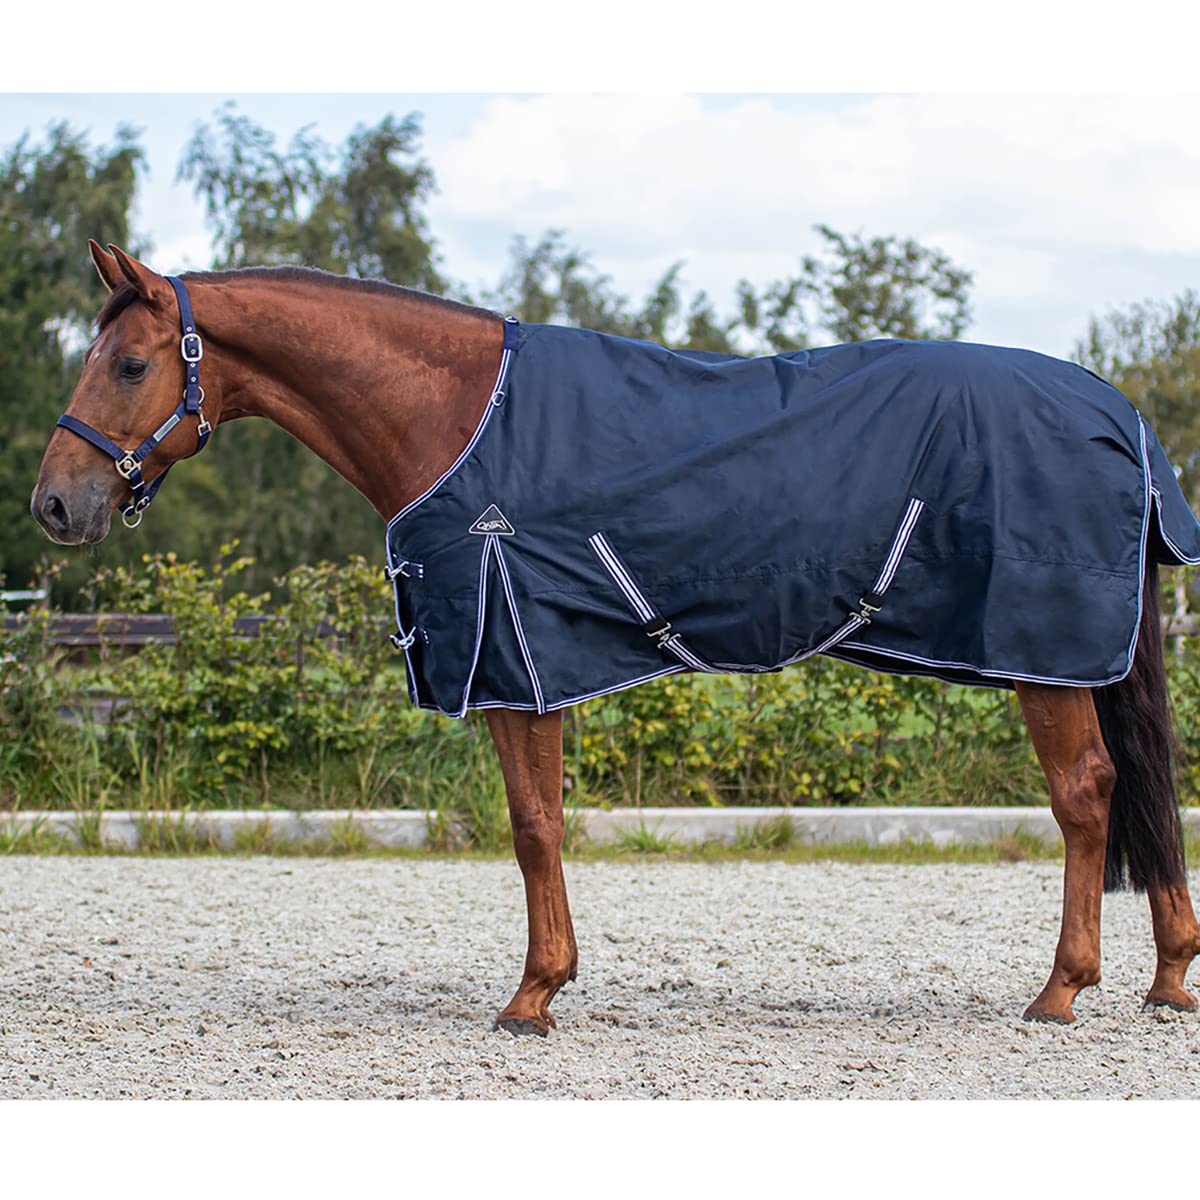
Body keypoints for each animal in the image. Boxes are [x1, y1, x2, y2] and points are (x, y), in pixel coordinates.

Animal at [30, 241, 1200, 1035]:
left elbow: (533, 827)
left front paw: (532, 995)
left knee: (1087, 794)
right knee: (1137, 788)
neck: (454, 415)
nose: (53, 506)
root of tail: (1123, 417)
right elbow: (537, 823)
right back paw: (1167, 975)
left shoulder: (515, 659)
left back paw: (1061, 991)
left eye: (128, 365)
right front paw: (546, 984)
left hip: (1045, 654)